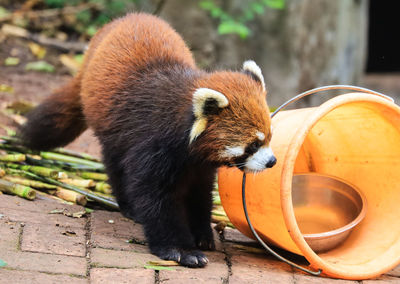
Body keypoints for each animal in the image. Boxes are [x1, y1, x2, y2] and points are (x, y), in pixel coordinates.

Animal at [20, 12, 276, 266]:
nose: (272, 162)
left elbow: (199, 194)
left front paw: (202, 235)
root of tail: (127, 17)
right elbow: (155, 197)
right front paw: (180, 249)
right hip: (112, 130)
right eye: (253, 144)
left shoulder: (198, 165)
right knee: (116, 166)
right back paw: (128, 207)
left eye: (269, 138)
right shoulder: (150, 143)